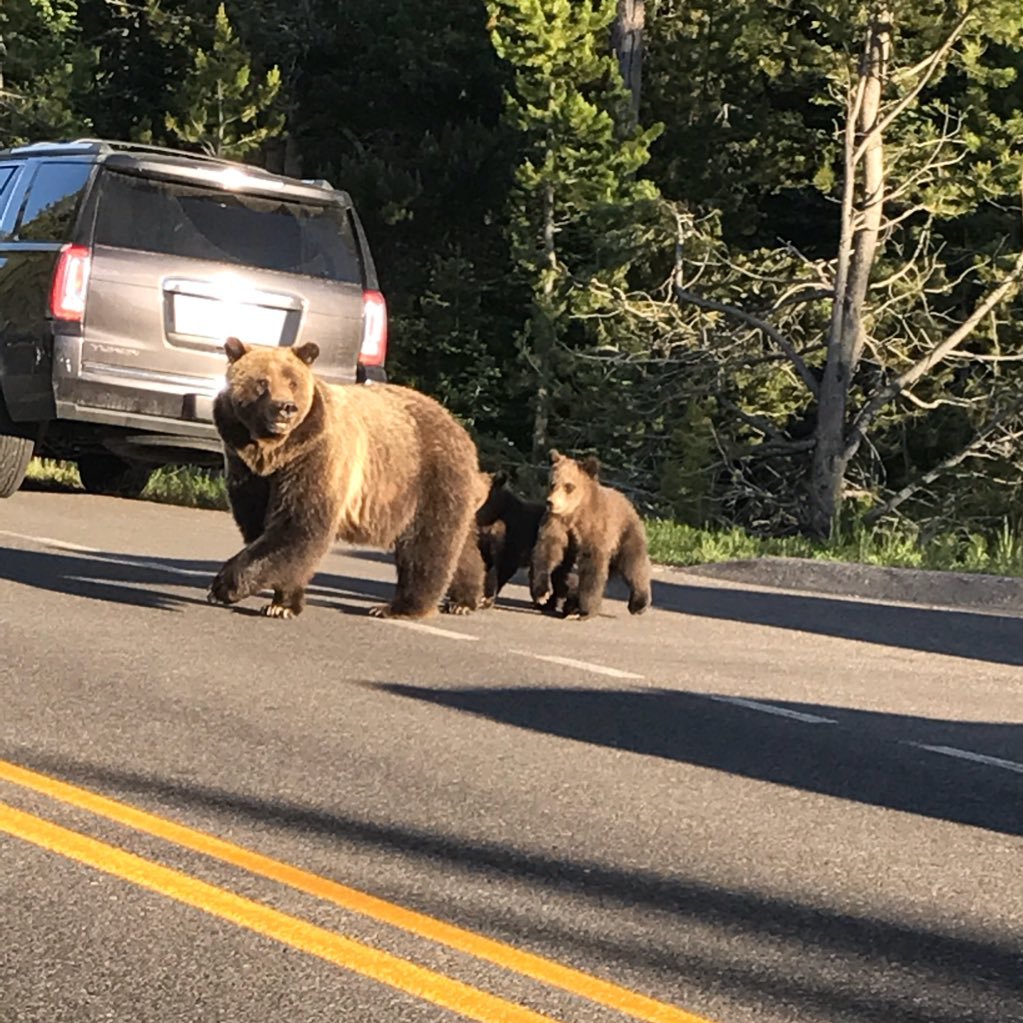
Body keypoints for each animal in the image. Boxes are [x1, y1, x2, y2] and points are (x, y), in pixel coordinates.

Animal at [207, 339, 486, 617]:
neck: (275, 453)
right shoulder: (247, 469)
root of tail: (460, 429)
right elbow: (260, 525)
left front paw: (224, 586)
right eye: (262, 382)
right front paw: (282, 601)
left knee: (426, 545)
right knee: (461, 547)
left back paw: (399, 607)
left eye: (293, 382)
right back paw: (464, 599)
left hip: (428, 477)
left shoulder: (315, 456)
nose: (286, 407)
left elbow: (298, 526)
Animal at [531, 452, 650, 617]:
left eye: (569, 486)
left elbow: (592, 565)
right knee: (563, 572)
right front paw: (542, 595)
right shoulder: (556, 523)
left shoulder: (593, 528)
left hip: (625, 532)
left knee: (633, 563)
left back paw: (638, 603)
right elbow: (547, 552)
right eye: (552, 483)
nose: (551, 502)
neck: (574, 513)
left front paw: (585, 609)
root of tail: (626, 499)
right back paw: (554, 603)